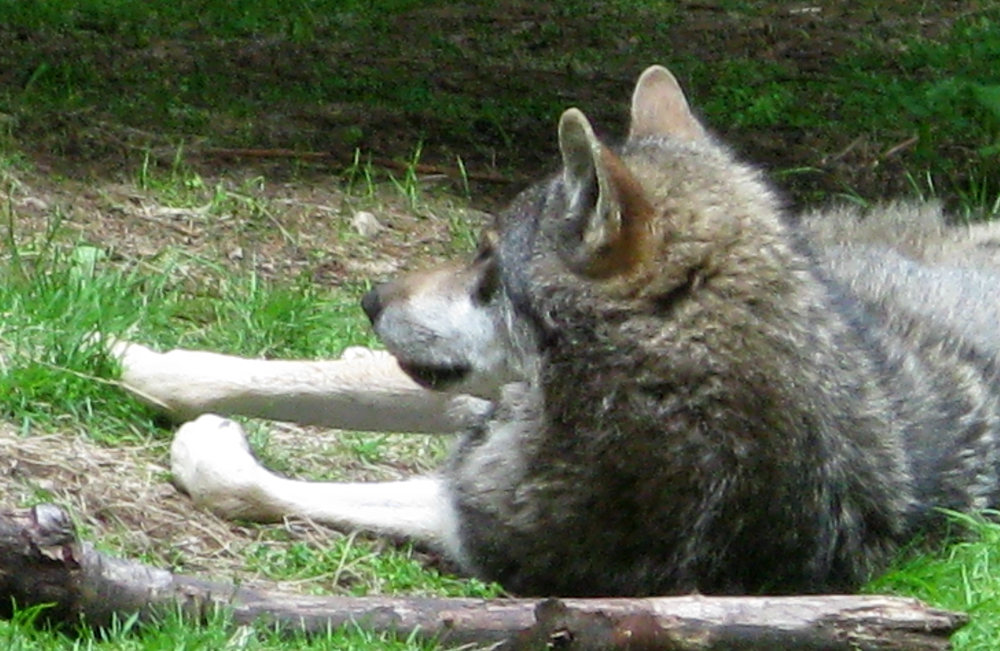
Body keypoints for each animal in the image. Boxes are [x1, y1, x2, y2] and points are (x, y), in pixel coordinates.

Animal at [118, 65, 1000, 596]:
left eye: (485, 255)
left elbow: (252, 484)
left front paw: (207, 447)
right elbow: (306, 383)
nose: (370, 297)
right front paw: (132, 361)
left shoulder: (477, 524)